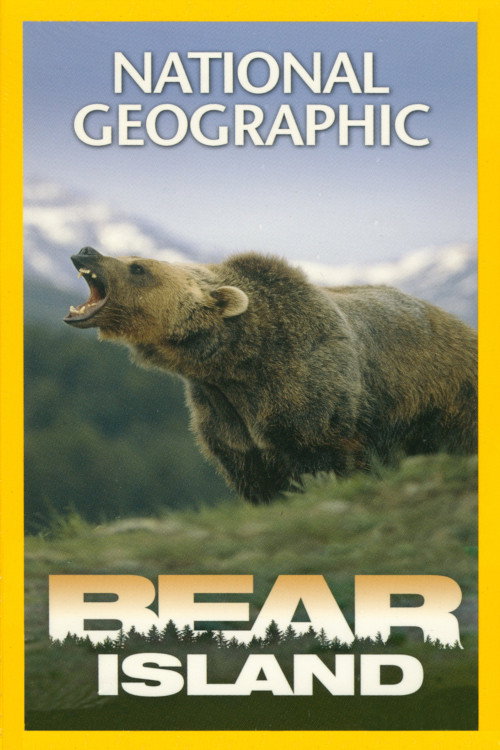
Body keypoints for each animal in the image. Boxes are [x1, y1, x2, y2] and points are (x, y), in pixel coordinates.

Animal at [64, 245, 477, 504]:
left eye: (138, 266)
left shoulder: (311, 401)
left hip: (445, 402)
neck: (236, 365)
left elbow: (328, 463)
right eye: (131, 258)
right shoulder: (224, 416)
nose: (87, 250)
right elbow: (254, 477)